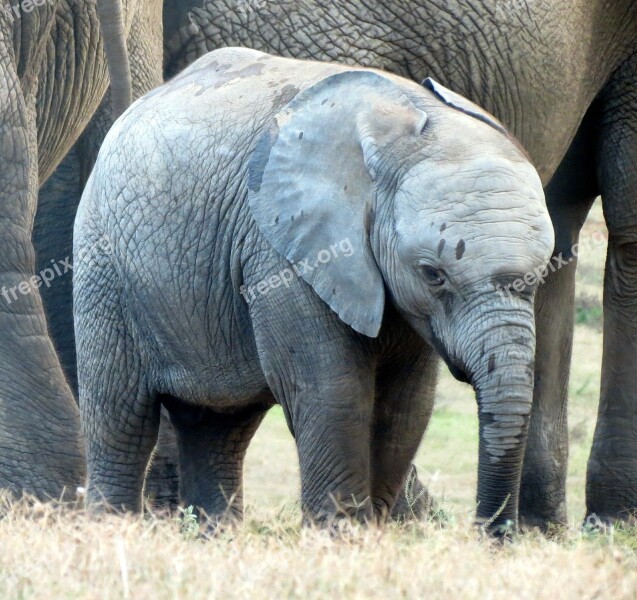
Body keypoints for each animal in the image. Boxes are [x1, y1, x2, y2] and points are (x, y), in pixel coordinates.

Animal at [73, 48, 552, 536]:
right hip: (103, 265)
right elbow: (330, 391)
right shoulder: (280, 251)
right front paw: (339, 538)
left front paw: (369, 534)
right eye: (432, 274)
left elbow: (405, 407)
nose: (495, 537)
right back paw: (110, 529)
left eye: (543, 272)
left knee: (220, 428)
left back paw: (216, 538)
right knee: (121, 415)